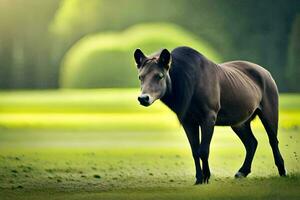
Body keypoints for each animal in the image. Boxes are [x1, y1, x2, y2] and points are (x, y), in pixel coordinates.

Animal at [134, 46, 286, 184]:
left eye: (159, 76)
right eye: (140, 77)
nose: (143, 98)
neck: (191, 83)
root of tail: (266, 72)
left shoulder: (208, 118)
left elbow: (203, 150)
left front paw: (206, 177)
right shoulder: (188, 122)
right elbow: (195, 151)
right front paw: (199, 179)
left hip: (269, 113)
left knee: (273, 141)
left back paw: (282, 171)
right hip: (239, 123)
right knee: (251, 143)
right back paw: (242, 172)